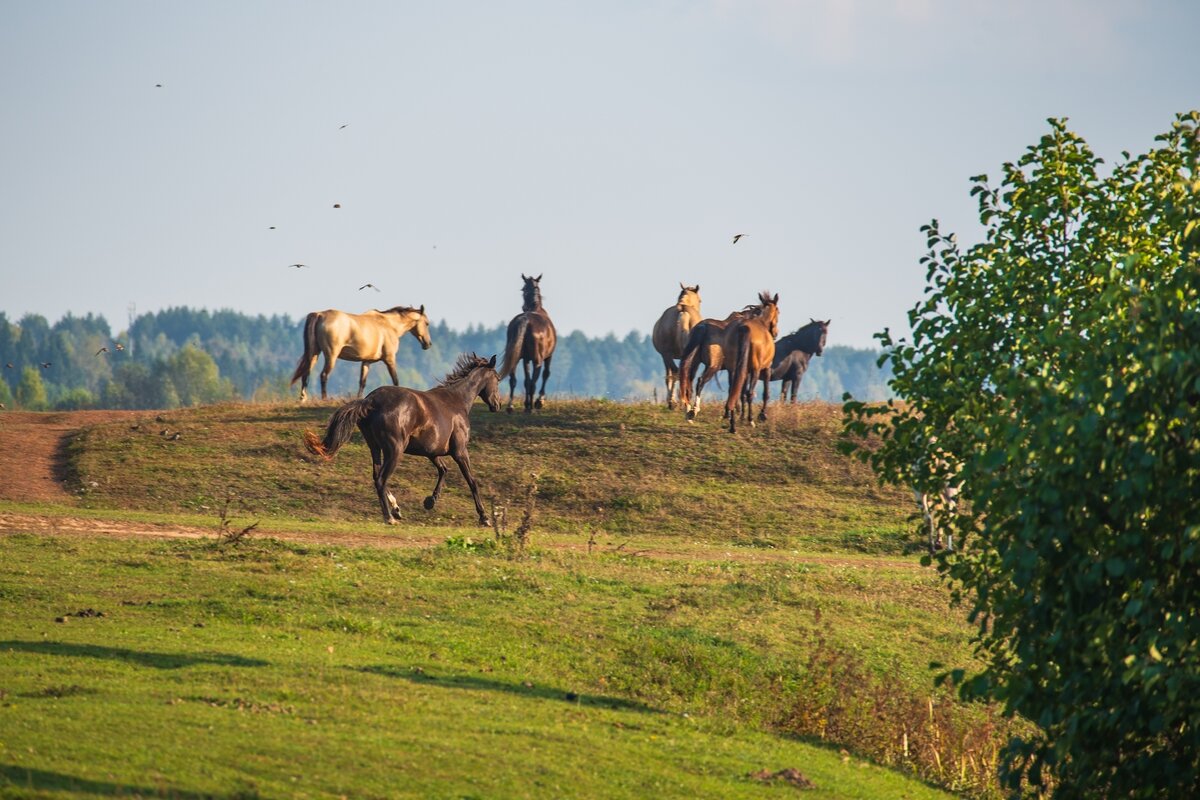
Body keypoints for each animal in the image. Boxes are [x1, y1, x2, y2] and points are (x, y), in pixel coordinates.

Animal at [290, 309, 432, 407]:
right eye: (427, 323)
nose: (428, 344)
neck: (389, 325)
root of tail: (319, 314)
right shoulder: (390, 359)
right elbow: (395, 380)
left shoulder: (366, 362)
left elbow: (362, 382)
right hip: (331, 355)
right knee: (324, 375)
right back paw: (324, 399)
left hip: (314, 353)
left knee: (306, 374)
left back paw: (303, 398)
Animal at [307, 352, 504, 527]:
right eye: (497, 378)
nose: (497, 405)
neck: (457, 401)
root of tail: (369, 401)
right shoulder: (460, 452)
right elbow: (472, 482)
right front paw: (484, 518)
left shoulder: (432, 453)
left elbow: (443, 470)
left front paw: (430, 501)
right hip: (395, 451)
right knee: (381, 479)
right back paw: (389, 517)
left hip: (375, 448)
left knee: (376, 476)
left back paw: (396, 509)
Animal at [496, 273, 556, 412]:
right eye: (523, 289)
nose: (523, 307)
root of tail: (526, 320)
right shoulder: (548, 356)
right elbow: (545, 374)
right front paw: (540, 400)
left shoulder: (526, 359)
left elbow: (526, 381)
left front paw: (526, 403)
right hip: (537, 360)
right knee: (534, 381)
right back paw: (531, 408)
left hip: (516, 356)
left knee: (514, 379)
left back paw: (511, 406)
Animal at [720, 292, 777, 434]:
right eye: (778, 311)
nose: (775, 333)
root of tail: (744, 328)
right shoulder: (766, 368)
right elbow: (765, 392)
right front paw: (762, 415)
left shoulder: (744, 370)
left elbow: (741, 392)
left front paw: (741, 417)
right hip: (756, 370)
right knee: (750, 392)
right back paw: (750, 420)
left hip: (734, 368)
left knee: (734, 390)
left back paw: (733, 425)